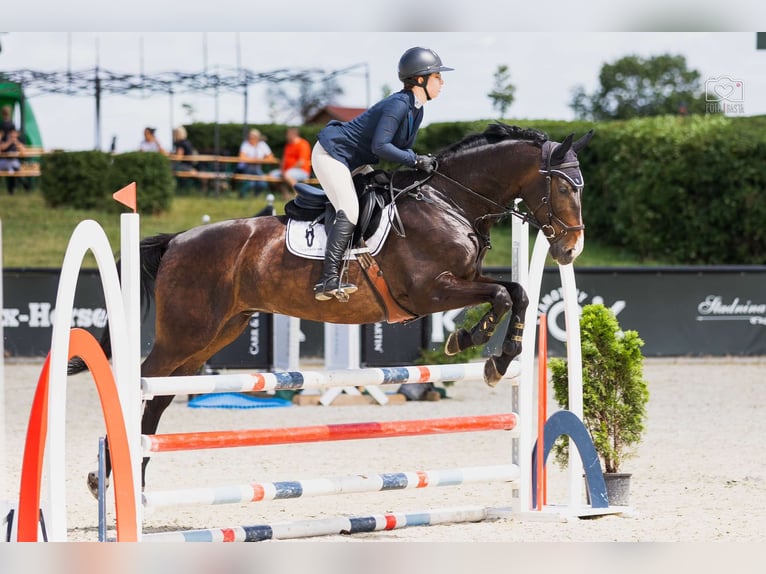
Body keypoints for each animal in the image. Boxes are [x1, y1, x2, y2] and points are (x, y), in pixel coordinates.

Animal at [78, 124, 592, 492]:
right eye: (567, 188)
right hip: (185, 334)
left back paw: (132, 476)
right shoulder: (430, 291)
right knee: (142, 383)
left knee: (159, 397)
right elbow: (503, 295)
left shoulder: (462, 283)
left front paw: (495, 355)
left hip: (211, 337)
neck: (450, 201)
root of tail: (177, 240)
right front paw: (470, 341)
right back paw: (108, 476)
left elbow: (517, 293)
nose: (571, 250)